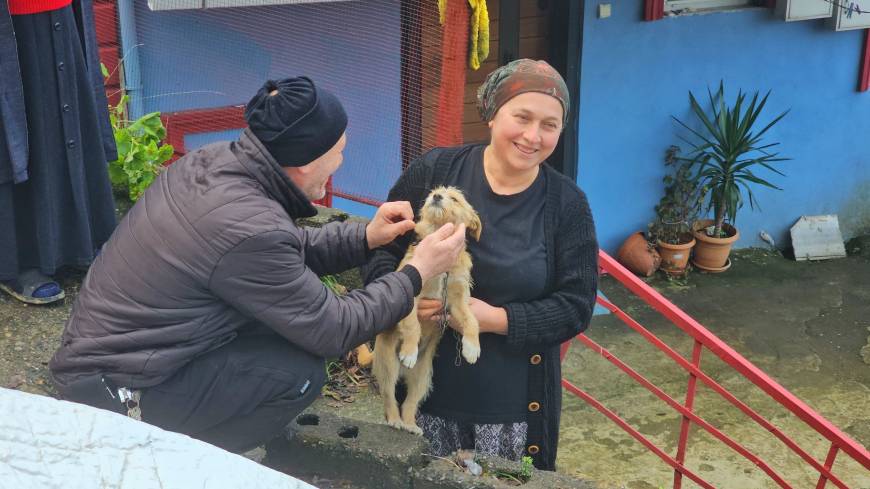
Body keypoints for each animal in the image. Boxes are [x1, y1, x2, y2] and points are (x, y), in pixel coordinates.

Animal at [372, 185, 484, 432]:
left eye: (455, 199)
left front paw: (472, 348)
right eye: (436, 191)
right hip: (388, 364)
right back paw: (395, 420)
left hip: (423, 377)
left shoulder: (457, 301)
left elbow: (472, 320)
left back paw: (410, 424)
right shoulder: (411, 294)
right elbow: (413, 325)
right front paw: (409, 351)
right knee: (389, 395)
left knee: (410, 402)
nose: (436, 196)